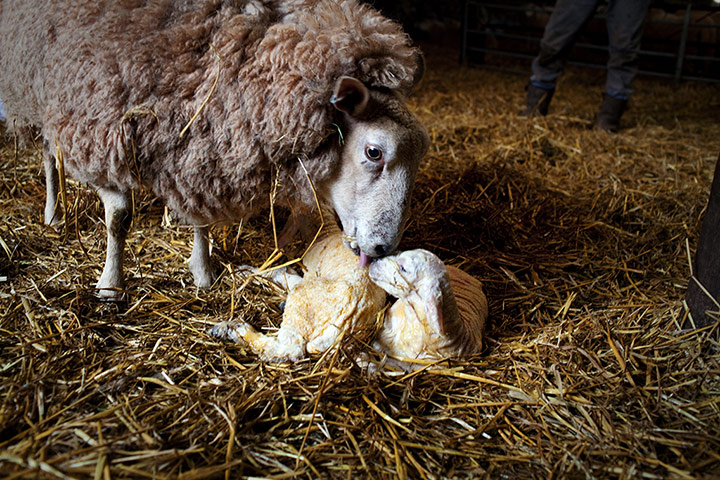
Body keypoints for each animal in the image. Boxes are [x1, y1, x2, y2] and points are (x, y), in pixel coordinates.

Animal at [0, 0, 429, 299]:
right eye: (374, 152)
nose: (384, 248)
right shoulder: (101, 131)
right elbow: (119, 218)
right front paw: (111, 284)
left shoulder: (201, 145)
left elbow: (200, 218)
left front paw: (202, 271)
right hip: (35, 93)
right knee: (47, 155)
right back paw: (53, 212)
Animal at [210, 223, 386, 362]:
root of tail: (348, 323)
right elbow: (286, 273)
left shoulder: (309, 275)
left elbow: (278, 271)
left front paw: (243, 271)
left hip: (302, 304)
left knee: (290, 349)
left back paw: (231, 329)